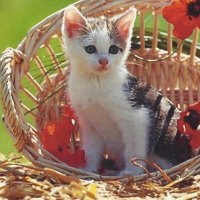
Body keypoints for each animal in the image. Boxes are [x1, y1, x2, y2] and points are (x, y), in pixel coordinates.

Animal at [61, 5, 196, 175]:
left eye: (113, 49)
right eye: (90, 49)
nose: (104, 61)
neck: (96, 81)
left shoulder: (137, 117)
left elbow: (133, 149)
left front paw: (132, 172)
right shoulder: (88, 123)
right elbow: (91, 149)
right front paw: (88, 169)